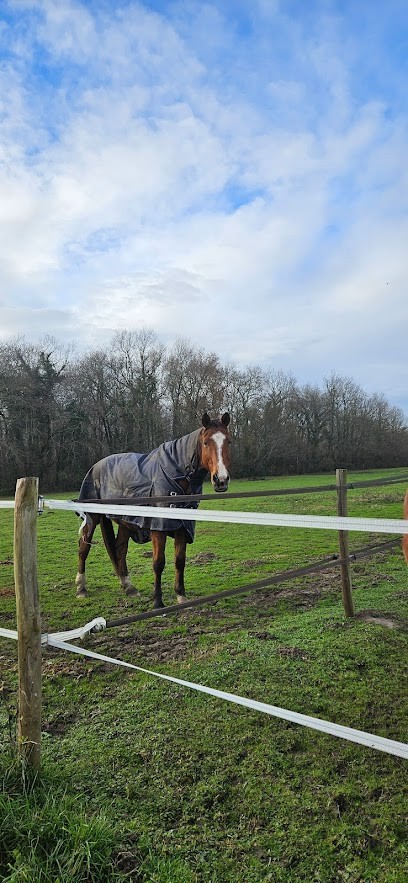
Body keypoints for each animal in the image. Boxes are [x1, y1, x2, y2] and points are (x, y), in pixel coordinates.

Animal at [75, 412, 231, 608]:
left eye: (229, 441)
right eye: (205, 442)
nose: (221, 479)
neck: (176, 475)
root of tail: (96, 466)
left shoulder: (183, 526)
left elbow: (180, 561)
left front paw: (181, 596)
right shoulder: (159, 527)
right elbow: (158, 563)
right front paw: (158, 601)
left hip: (126, 521)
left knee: (120, 548)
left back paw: (129, 587)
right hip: (93, 517)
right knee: (83, 547)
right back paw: (81, 588)